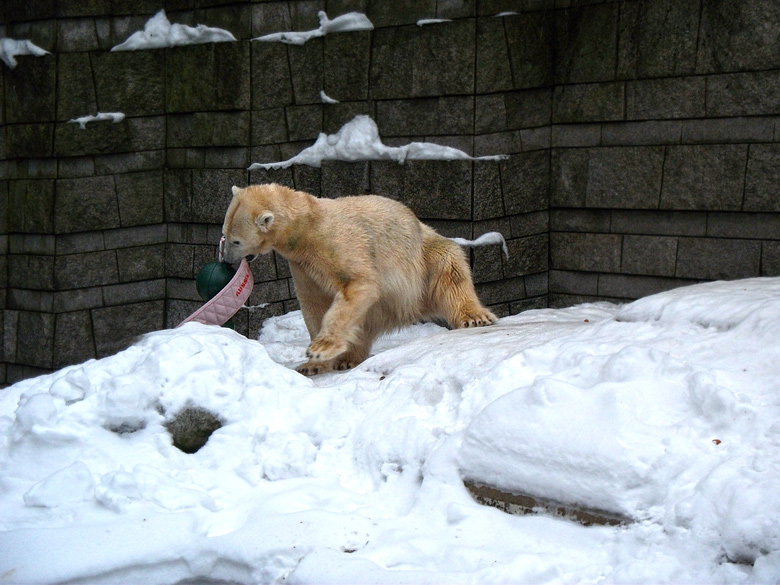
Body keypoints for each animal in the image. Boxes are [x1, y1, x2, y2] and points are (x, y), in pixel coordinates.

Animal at [222, 182, 496, 374]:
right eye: (224, 233)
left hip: (422, 259)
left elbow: (357, 283)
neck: (307, 225)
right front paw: (312, 365)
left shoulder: (334, 243)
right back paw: (348, 359)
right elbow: (314, 305)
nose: (226, 259)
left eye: (236, 241)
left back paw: (475, 317)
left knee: (450, 269)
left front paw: (320, 350)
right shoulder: (302, 266)